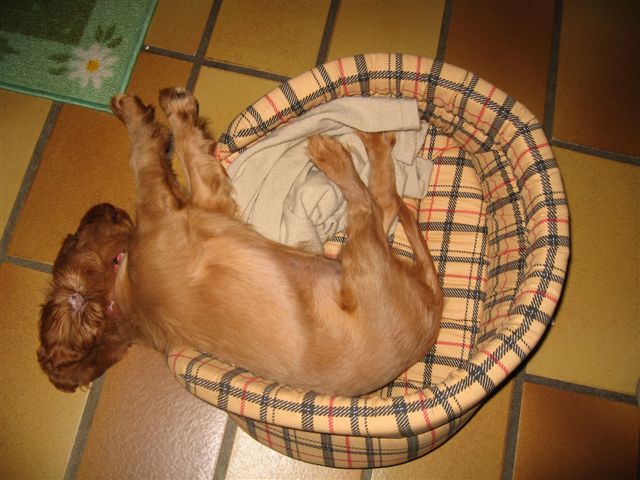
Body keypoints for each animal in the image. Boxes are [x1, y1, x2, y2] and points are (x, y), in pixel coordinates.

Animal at [37, 88, 443, 396]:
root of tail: (432, 310)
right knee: (372, 203)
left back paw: (374, 139)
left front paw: (146, 108)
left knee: (384, 202)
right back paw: (343, 151)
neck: (123, 298)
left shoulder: (203, 202)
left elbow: (184, 152)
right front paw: (156, 113)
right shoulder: (168, 205)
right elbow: (146, 155)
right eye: (74, 237)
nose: (98, 208)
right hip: (361, 262)